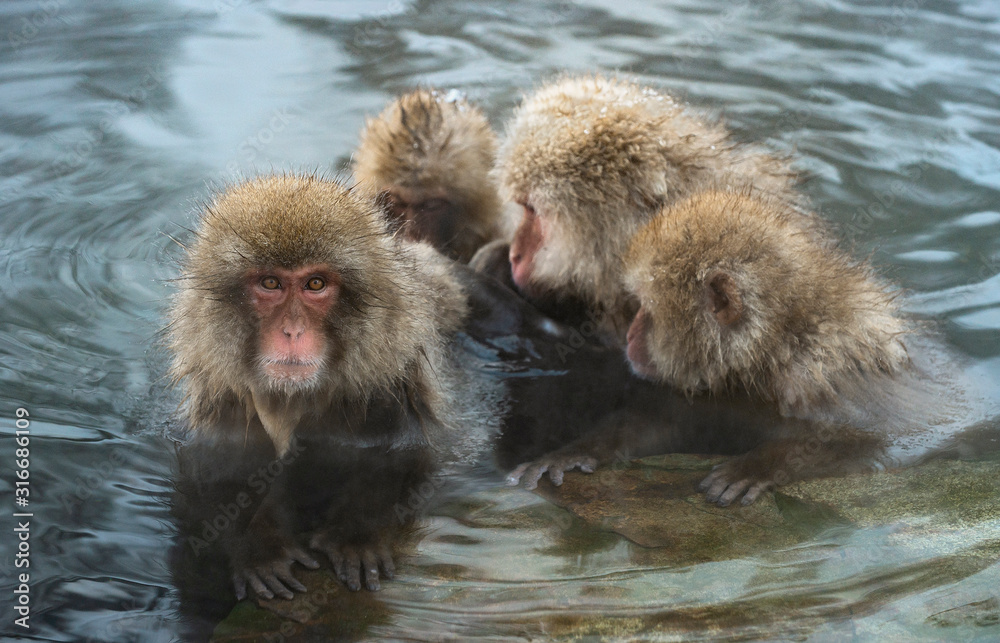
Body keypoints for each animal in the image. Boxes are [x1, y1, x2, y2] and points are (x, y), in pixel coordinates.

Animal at [167, 173, 498, 600]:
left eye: (315, 283)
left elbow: (405, 458)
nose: (293, 331)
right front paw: (259, 548)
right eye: (270, 283)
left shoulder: (392, 384)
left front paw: (354, 536)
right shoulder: (222, 397)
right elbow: (217, 473)